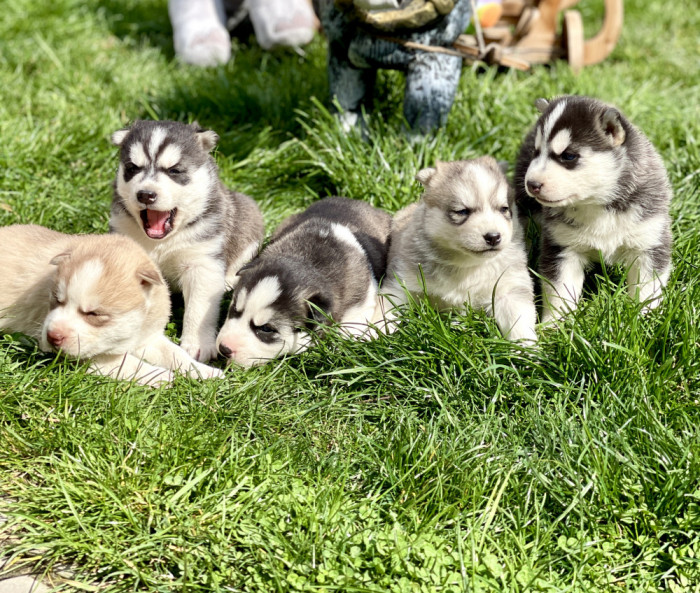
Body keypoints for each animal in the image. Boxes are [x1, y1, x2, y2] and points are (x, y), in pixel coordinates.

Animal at [0, 224, 223, 386]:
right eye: (57, 299)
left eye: (94, 314)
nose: (52, 336)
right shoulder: (95, 356)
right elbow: (128, 363)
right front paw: (161, 375)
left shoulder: (147, 337)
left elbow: (175, 353)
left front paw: (205, 371)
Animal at [110, 118, 264, 358]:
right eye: (132, 168)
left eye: (174, 170)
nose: (145, 194)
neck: (162, 242)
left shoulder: (202, 262)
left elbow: (199, 308)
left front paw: (197, 344)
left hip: (249, 219)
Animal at [378, 157, 536, 342]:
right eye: (462, 211)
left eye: (504, 209)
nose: (493, 236)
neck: (467, 265)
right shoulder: (400, 284)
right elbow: (383, 311)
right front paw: (369, 334)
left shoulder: (510, 287)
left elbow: (519, 321)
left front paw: (527, 347)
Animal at [516, 95, 672, 322]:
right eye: (537, 152)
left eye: (568, 156)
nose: (532, 184)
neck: (596, 205)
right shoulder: (563, 247)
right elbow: (559, 292)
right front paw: (555, 324)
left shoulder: (649, 242)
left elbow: (646, 288)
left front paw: (645, 318)